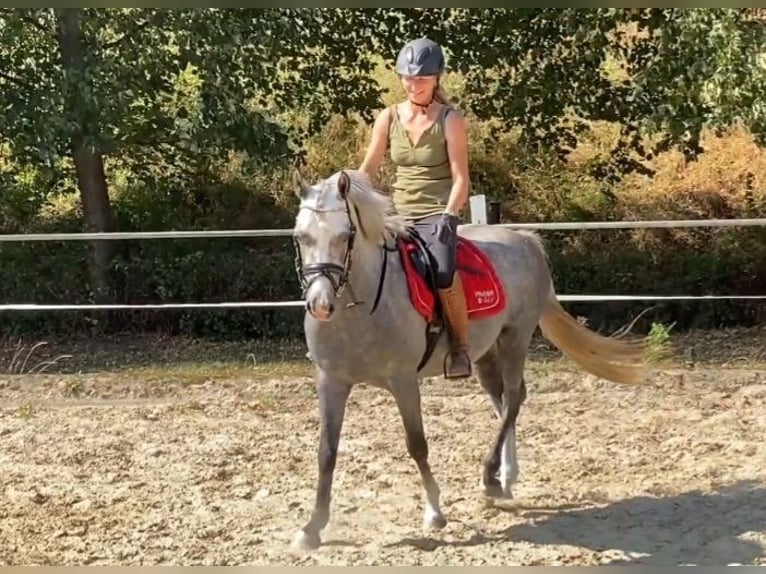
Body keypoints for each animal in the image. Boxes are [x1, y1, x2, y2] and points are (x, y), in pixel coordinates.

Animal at [292, 169, 644, 552]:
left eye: (345, 236)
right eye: (300, 237)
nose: (320, 304)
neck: (363, 305)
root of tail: (524, 240)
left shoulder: (403, 381)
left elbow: (417, 445)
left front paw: (434, 512)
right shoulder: (331, 381)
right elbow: (326, 452)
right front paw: (312, 527)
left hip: (515, 337)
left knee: (514, 398)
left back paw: (491, 478)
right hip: (484, 353)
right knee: (503, 401)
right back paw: (506, 479)